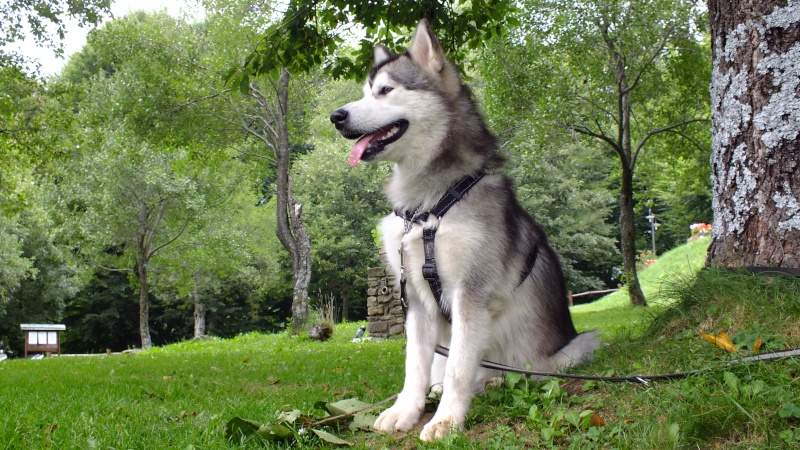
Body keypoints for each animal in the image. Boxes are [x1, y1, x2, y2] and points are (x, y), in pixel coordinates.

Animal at [328, 20, 596, 440]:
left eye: (386, 90)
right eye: (364, 93)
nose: (336, 116)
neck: (429, 207)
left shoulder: (471, 294)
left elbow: (458, 366)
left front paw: (447, 420)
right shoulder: (416, 298)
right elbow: (415, 365)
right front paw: (405, 410)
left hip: (569, 349)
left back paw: (492, 381)